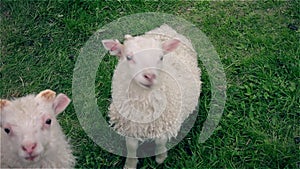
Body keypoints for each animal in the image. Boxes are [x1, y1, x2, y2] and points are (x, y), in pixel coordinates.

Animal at [102, 24, 203, 169]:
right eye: (128, 57)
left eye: (161, 57)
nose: (150, 76)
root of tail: (167, 28)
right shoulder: (130, 126)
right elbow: (131, 146)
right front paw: (130, 164)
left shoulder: (164, 125)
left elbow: (160, 142)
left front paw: (160, 158)